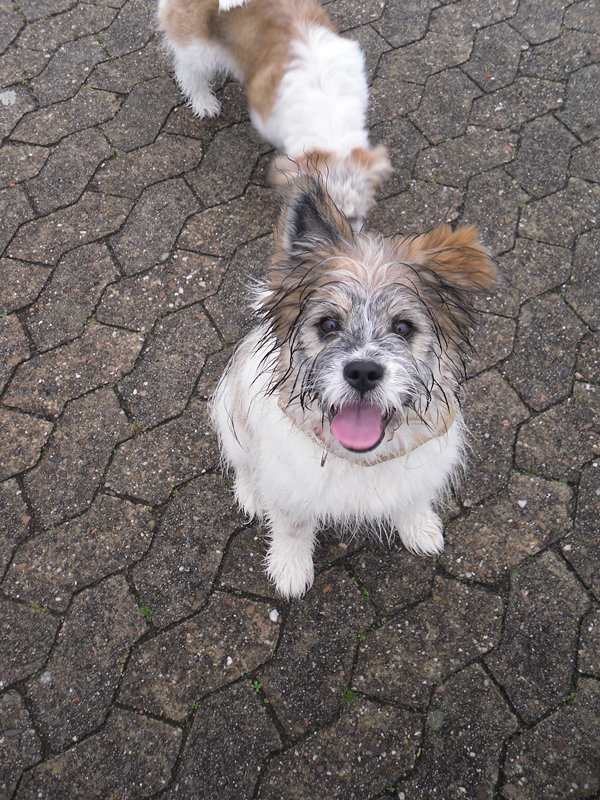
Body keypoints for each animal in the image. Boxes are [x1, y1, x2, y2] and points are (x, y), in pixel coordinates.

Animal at [211, 177, 496, 600]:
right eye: (329, 325)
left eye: (403, 327)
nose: (362, 371)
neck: (360, 458)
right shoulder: (289, 485)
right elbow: (292, 527)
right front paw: (290, 568)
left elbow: (411, 497)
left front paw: (418, 527)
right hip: (232, 416)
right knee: (243, 462)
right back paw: (251, 492)